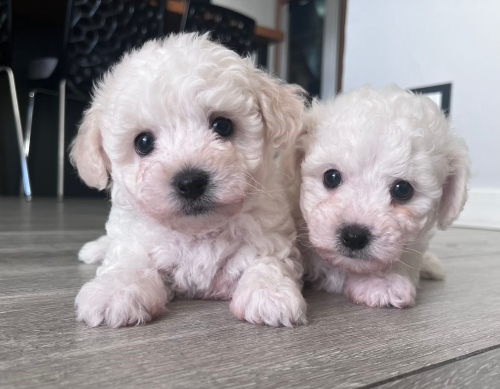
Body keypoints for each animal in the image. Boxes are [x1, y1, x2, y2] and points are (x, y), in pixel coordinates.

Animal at [69, 33, 304, 326]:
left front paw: (270, 293)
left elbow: (268, 259)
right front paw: (115, 291)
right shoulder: (133, 241)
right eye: (143, 142)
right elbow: (128, 261)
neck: (197, 232)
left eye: (222, 125)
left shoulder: (270, 235)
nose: (190, 182)